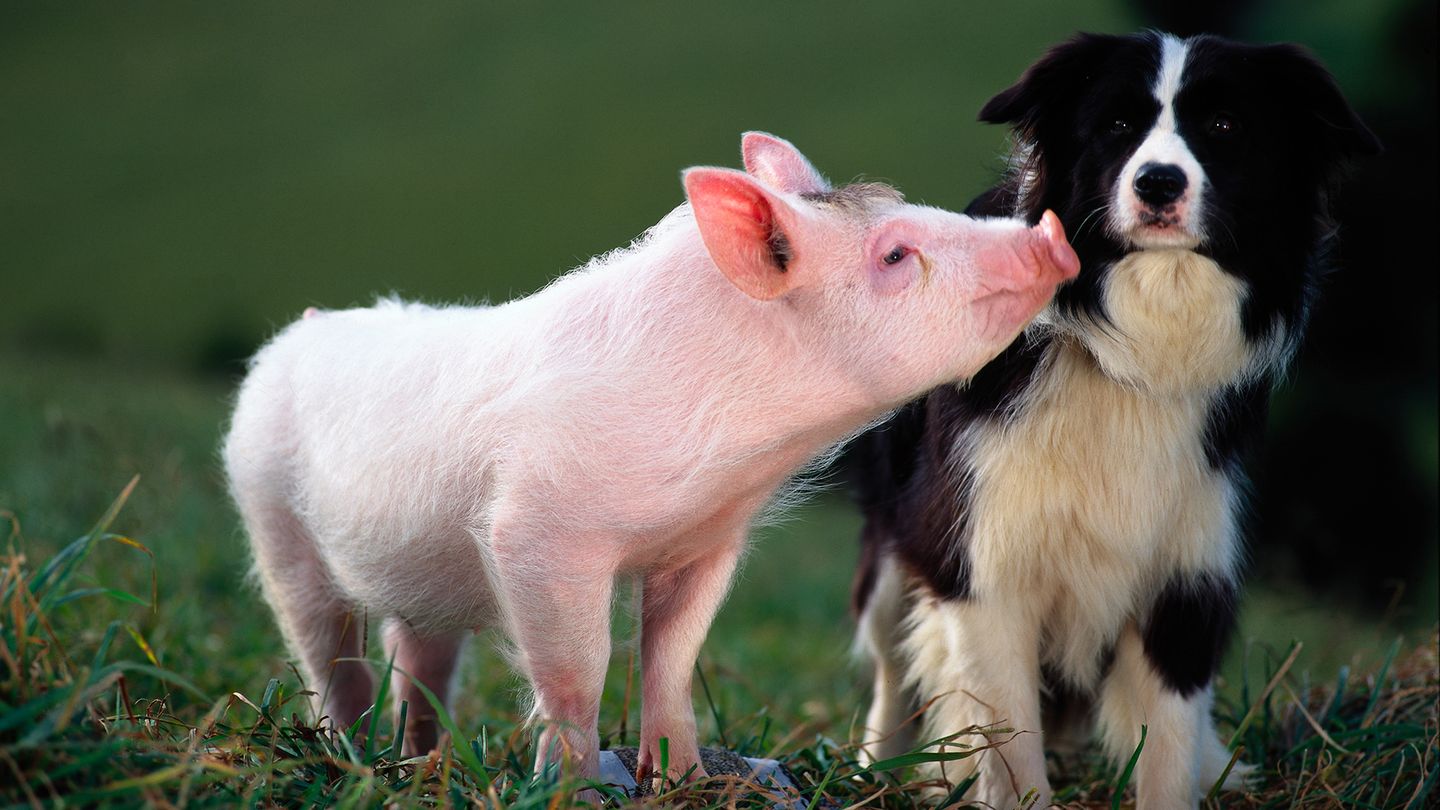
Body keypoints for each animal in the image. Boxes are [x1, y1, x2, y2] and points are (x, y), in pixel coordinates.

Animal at [223, 132, 1078, 794]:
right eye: (897, 253)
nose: (1052, 231)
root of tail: (300, 330)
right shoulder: (536, 533)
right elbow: (580, 670)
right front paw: (576, 788)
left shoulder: (706, 540)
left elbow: (671, 656)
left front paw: (686, 780)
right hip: (272, 518)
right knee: (332, 656)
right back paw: (353, 761)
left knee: (418, 661)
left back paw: (418, 762)